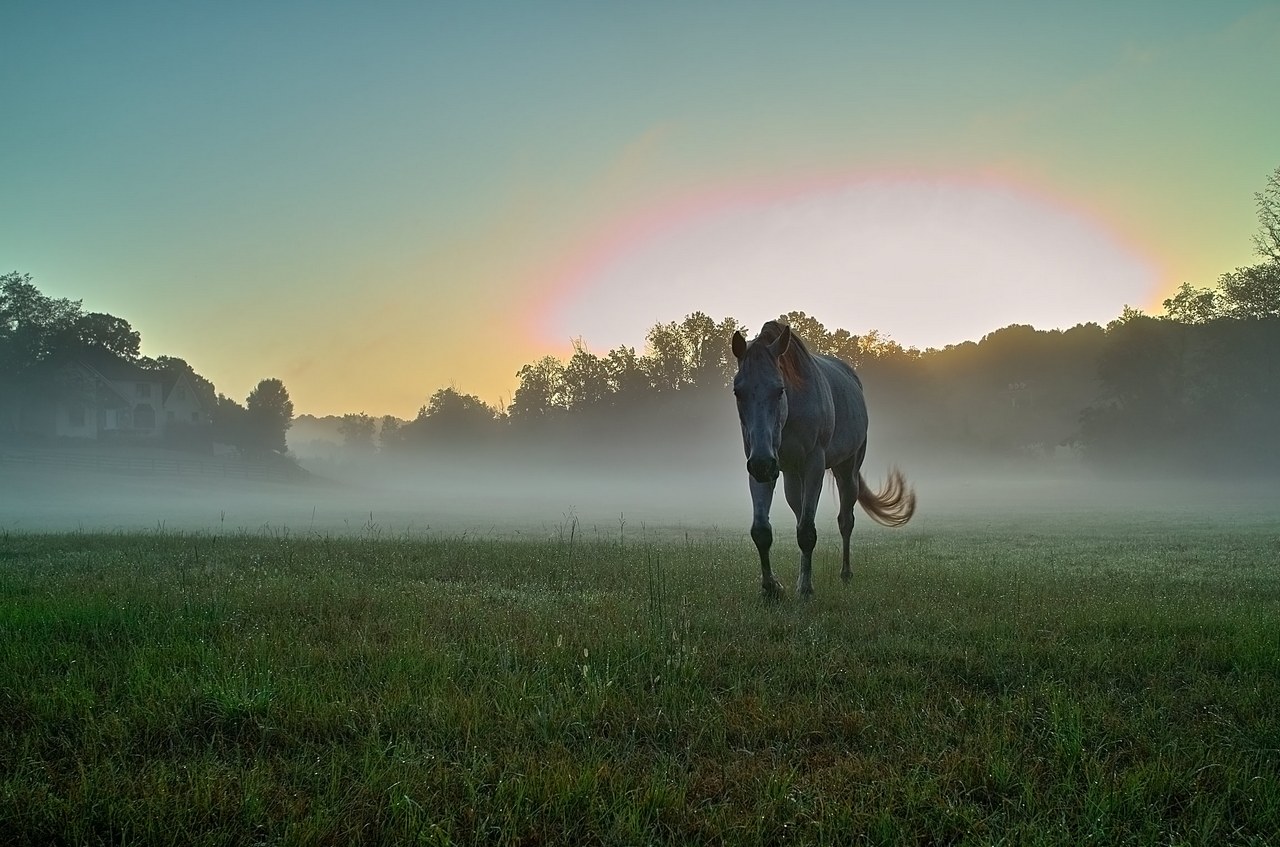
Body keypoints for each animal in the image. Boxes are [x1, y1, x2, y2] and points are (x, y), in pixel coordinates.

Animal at [731, 320, 916, 598]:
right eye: (738, 392)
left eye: (779, 390)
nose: (763, 464)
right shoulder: (760, 467)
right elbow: (762, 530)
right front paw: (771, 588)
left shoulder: (813, 465)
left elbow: (807, 532)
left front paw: (806, 590)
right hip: (791, 476)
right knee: (800, 514)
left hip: (846, 471)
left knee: (845, 521)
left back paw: (845, 574)